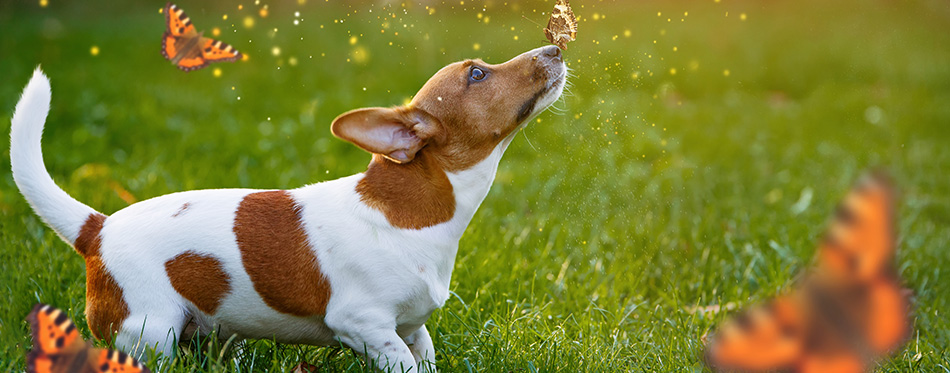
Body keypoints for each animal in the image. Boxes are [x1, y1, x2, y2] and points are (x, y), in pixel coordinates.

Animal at [11, 45, 568, 370]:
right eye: (477, 75)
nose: (555, 46)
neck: (414, 213)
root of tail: (97, 228)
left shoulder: (413, 328)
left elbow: (424, 357)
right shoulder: (364, 324)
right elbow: (402, 365)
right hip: (149, 330)